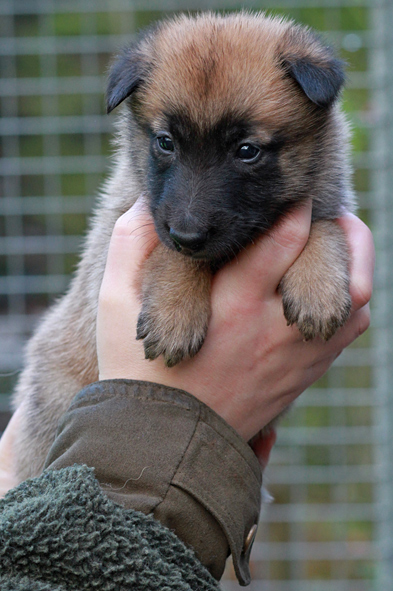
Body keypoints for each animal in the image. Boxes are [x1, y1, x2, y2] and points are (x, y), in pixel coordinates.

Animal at [13, 10, 354, 480]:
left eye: (247, 150)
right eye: (165, 142)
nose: (189, 235)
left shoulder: (324, 200)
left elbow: (323, 225)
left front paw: (318, 287)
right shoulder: (125, 223)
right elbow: (165, 250)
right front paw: (175, 311)